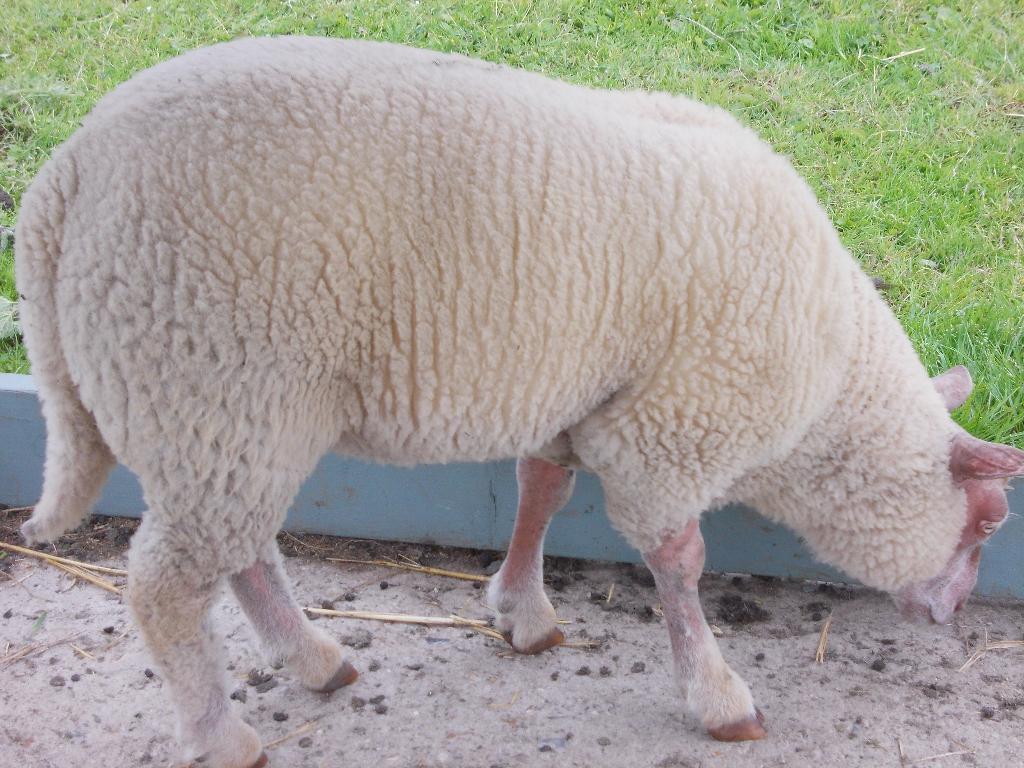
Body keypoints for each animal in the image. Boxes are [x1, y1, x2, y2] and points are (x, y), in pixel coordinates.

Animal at [15, 36, 1024, 766]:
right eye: (984, 522)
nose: (953, 617)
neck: (828, 398)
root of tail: (62, 180)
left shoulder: (582, 399)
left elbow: (543, 489)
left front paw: (520, 610)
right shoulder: (672, 434)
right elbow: (680, 562)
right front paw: (717, 696)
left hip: (222, 415)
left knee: (243, 550)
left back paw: (315, 661)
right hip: (213, 378)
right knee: (168, 586)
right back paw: (222, 733)